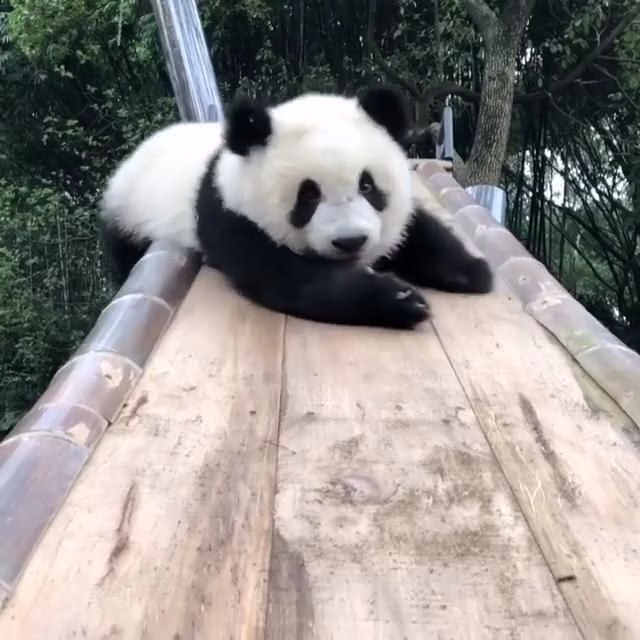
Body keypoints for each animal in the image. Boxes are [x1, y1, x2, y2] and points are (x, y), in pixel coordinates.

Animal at [99, 84, 493, 330]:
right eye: (308, 195)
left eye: (367, 185)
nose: (350, 242)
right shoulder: (228, 215)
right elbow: (291, 279)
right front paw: (400, 299)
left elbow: (417, 229)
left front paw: (472, 270)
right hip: (129, 216)